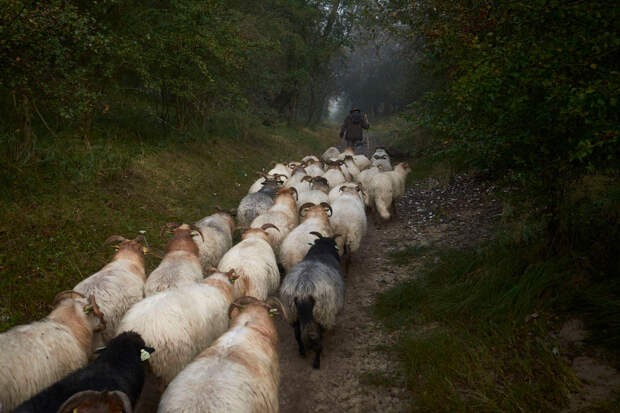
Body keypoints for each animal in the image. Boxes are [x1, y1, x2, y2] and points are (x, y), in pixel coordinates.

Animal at [280, 233, 346, 368]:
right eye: (334, 245)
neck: (321, 252)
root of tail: (302, 291)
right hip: (321, 313)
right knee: (318, 337)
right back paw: (317, 361)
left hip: (292, 312)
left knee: (297, 334)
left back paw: (302, 351)